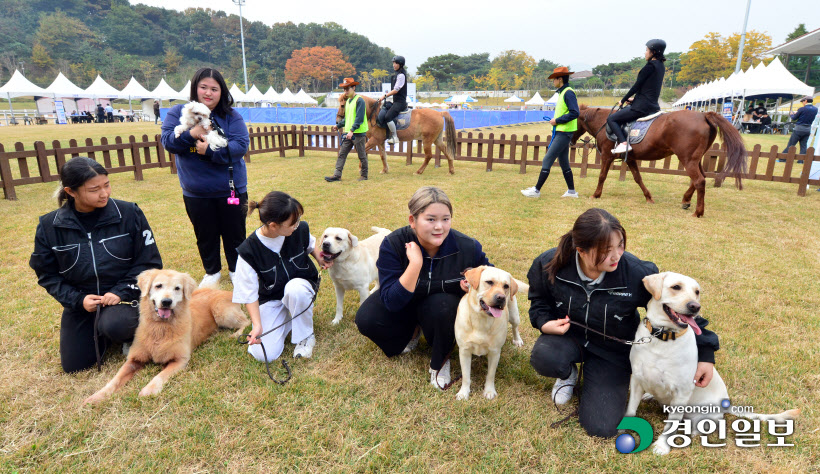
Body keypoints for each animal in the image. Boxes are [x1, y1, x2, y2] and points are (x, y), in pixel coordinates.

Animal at [85, 270, 250, 404]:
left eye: (177, 288)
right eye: (158, 286)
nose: (166, 302)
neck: (160, 328)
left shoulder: (180, 360)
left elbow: (160, 376)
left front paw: (148, 390)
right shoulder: (134, 359)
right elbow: (115, 379)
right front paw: (98, 396)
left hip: (221, 312)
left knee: (247, 322)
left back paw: (236, 334)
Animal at [454, 266, 524, 400]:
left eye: (506, 286)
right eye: (489, 282)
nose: (501, 298)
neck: (481, 319)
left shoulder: (495, 352)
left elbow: (491, 374)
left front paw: (489, 391)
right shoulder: (464, 351)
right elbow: (466, 376)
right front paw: (464, 392)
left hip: (514, 314)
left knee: (515, 327)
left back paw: (517, 340)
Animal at [572, 104, 748, 218]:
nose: (570, 141)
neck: (604, 122)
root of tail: (703, 115)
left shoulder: (607, 156)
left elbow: (602, 176)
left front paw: (596, 195)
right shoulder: (631, 159)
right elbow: (638, 178)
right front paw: (648, 197)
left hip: (687, 159)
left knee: (699, 180)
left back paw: (698, 212)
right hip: (694, 159)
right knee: (700, 178)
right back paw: (686, 200)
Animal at [624, 272, 796, 454]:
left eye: (697, 292)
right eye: (676, 287)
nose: (695, 307)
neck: (662, 338)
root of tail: (726, 405)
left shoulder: (682, 392)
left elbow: (671, 425)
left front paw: (662, 446)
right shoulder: (637, 379)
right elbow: (631, 408)